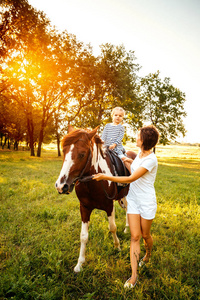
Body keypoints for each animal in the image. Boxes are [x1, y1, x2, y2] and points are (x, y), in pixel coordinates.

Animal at [54, 125, 136, 274]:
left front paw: (117, 246)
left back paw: (128, 229)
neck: (94, 180)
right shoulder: (84, 208)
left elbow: (112, 228)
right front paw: (80, 264)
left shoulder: (109, 206)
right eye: (64, 151)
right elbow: (83, 236)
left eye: (82, 154)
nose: (61, 186)